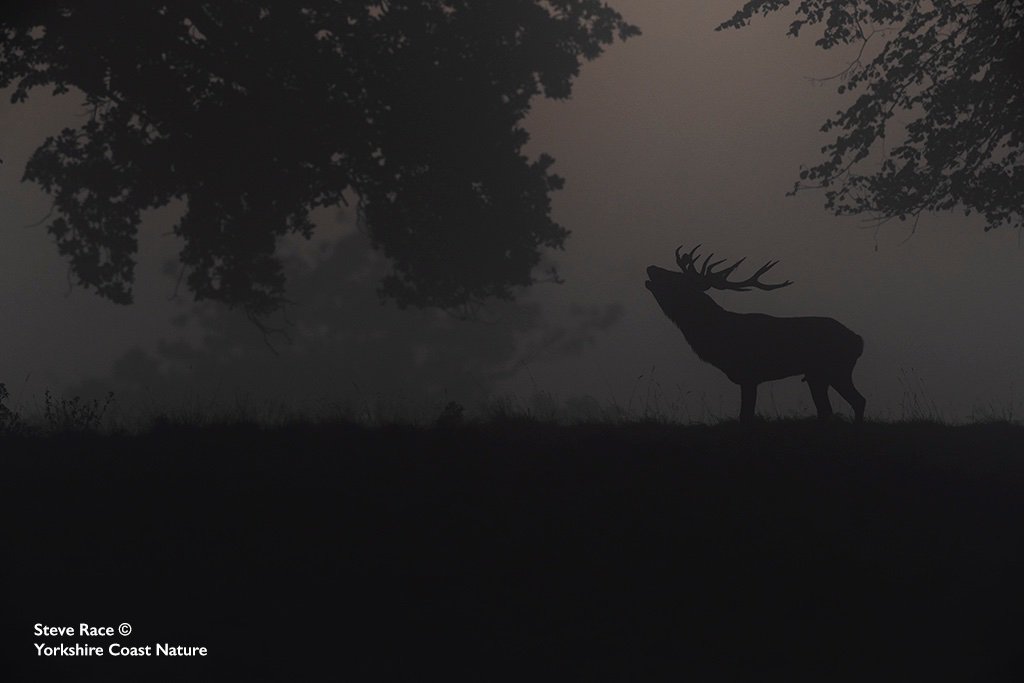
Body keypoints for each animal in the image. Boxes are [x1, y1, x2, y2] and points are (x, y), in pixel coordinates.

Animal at [645, 245, 866, 423]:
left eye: (676, 278)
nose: (651, 267)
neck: (717, 336)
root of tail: (858, 340)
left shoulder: (749, 374)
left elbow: (746, 416)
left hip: (836, 368)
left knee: (858, 401)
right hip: (818, 375)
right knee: (829, 409)